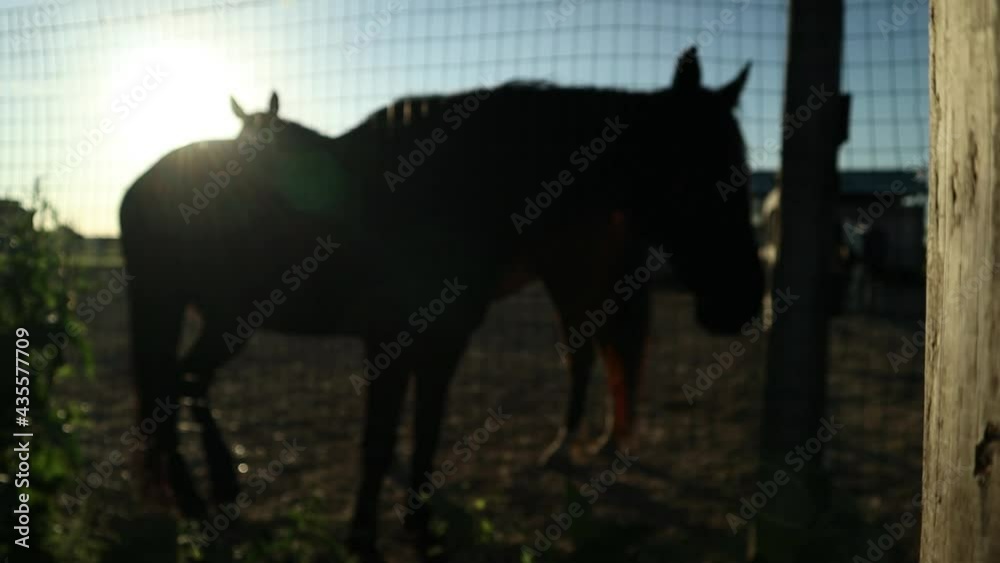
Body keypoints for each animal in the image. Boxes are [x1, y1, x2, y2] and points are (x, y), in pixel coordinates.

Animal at [120, 46, 762, 560]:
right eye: (690, 173)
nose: (742, 304)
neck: (445, 191)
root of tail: (145, 181)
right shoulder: (386, 341)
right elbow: (379, 443)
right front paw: (362, 540)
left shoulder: (447, 342)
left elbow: (426, 434)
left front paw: (421, 530)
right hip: (183, 309)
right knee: (172, 387)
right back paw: (196, 500)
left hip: (223, 318)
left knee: (186, 381)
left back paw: (217, 489)